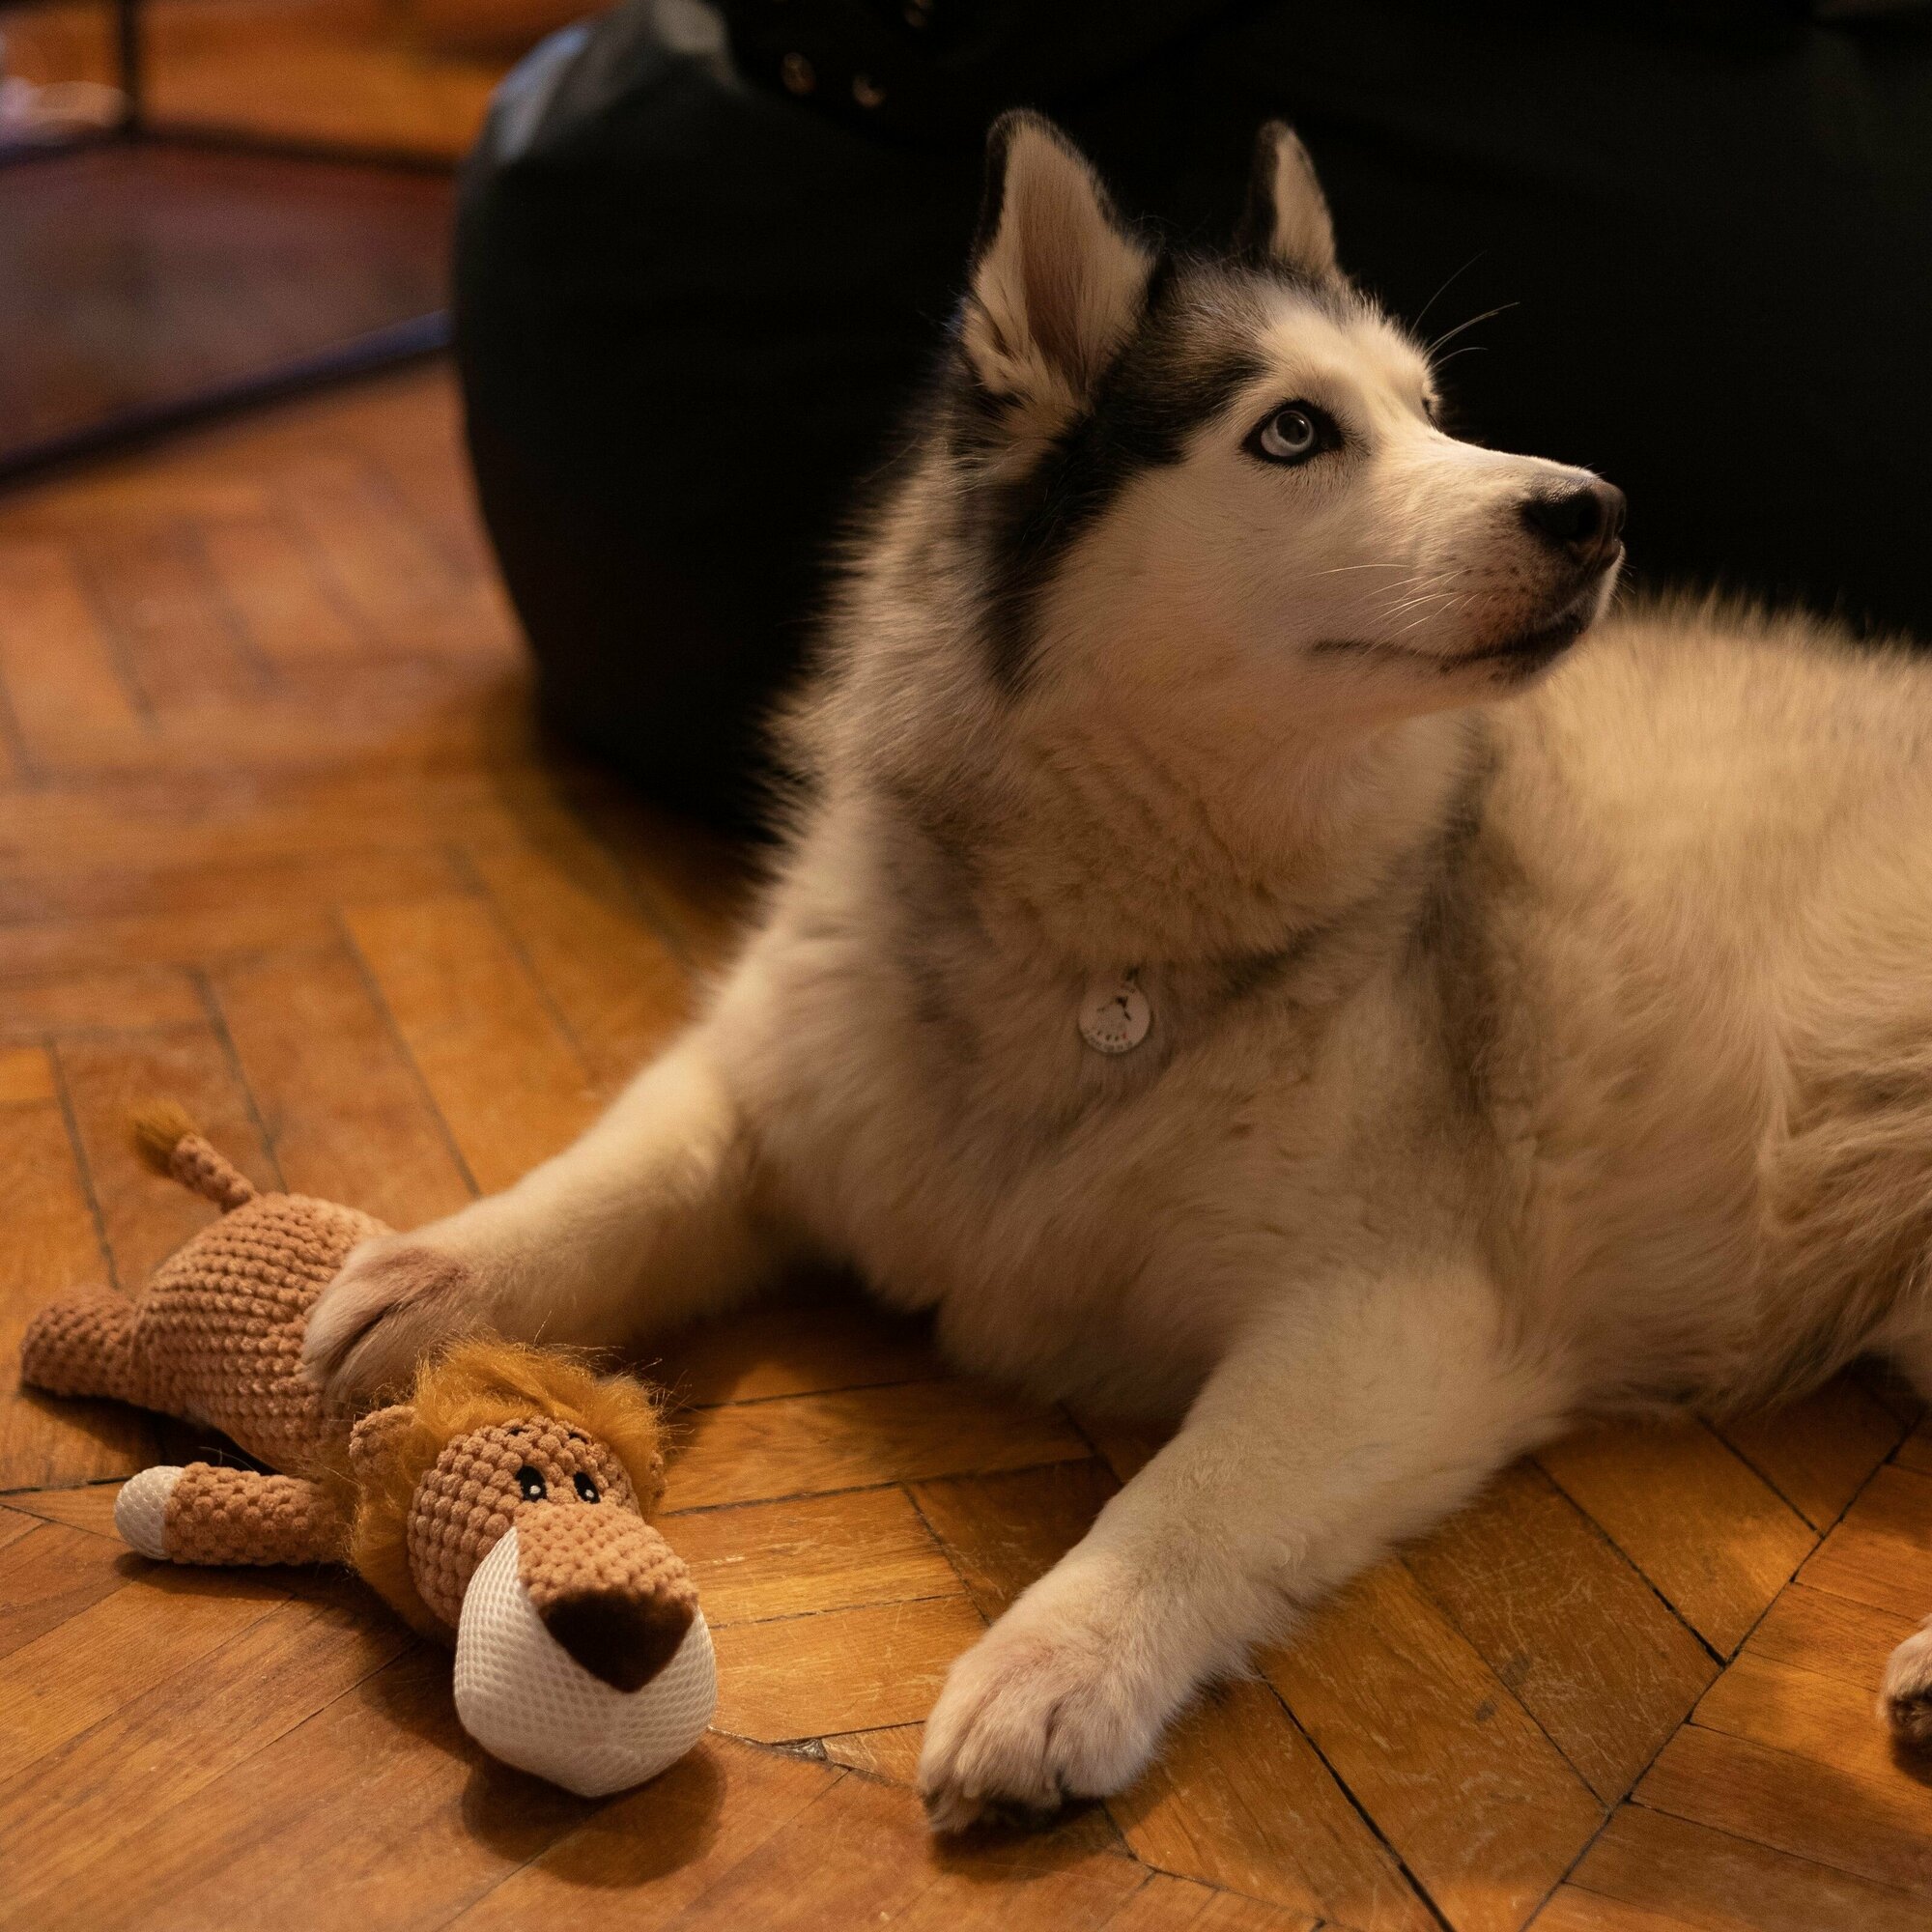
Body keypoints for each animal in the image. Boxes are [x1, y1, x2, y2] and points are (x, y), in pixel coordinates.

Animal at [309, 113, 1932, 1816]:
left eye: (1431, 413)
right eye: (1298, 432)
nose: (1595, 507)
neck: (1114, 955)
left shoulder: (1394, 1319)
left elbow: (1187, 1498)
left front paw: (1058, 1663)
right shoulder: (790, 1077)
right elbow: (629, 1170)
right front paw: (433, 1278)